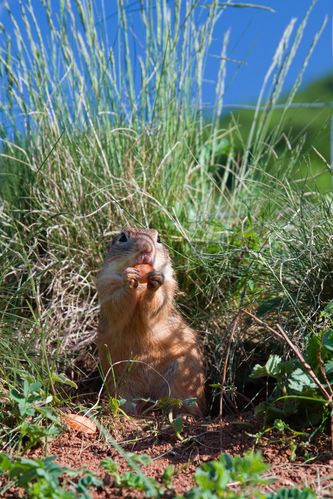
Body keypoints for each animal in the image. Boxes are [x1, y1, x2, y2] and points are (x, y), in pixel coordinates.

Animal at [94, 229, 206, 416]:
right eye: (122, 237)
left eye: (159, 238)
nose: (146, 249)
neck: (141, 286)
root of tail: (150, 397)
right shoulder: (106, 285)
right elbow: (118, 303)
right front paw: (129, 278)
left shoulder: (168, 286)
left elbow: (156, 303)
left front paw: (155, 281)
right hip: (121, 381)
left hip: (181, 377)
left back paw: (184, 415)